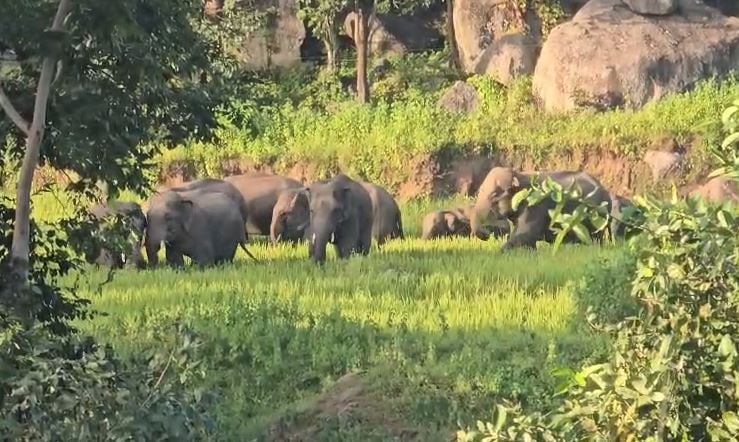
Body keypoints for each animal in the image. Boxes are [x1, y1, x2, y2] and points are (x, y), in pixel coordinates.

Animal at [470, 167, 612, 251]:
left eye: (494, 195)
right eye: (480, 190)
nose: (487, 234)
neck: (519, 174)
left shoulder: (535, 205)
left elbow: (527, 233)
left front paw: (501, 252)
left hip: (596, 217)